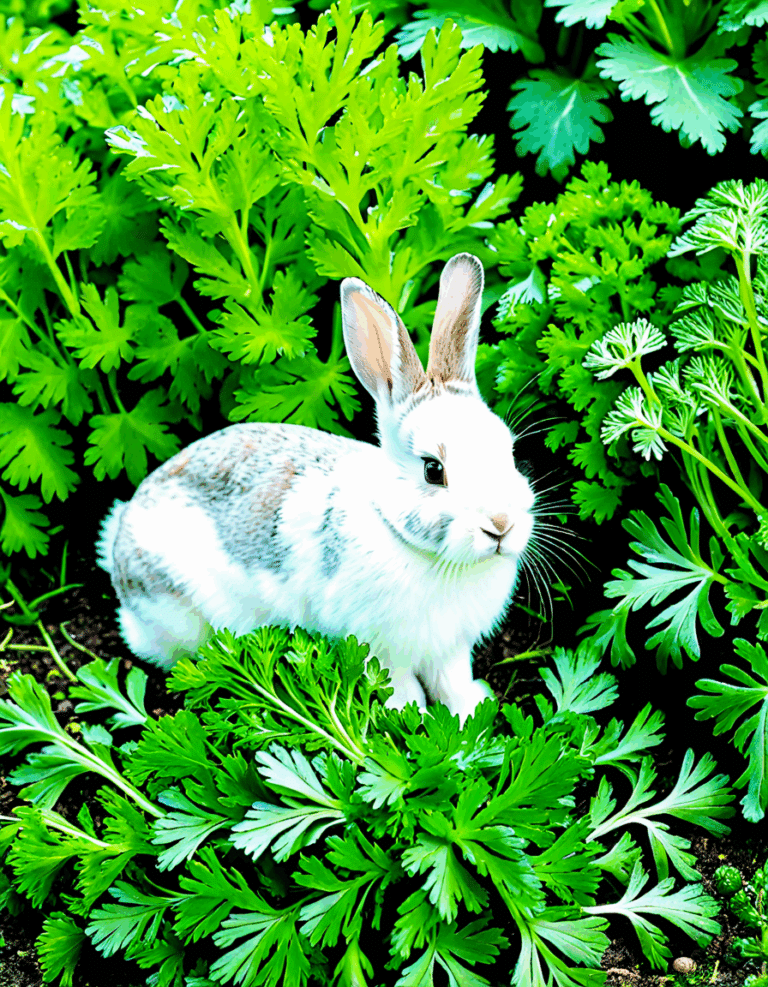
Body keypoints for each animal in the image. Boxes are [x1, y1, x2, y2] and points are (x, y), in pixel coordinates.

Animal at [96, 253, 535, 723]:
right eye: (433, 470)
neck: (416, 547)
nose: (501, 525)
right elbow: (399, 687)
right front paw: (406, 717)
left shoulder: (450, 649)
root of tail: (119, 539)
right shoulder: (378, 647)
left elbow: (452, 683)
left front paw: (471, 711)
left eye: (509, 450)